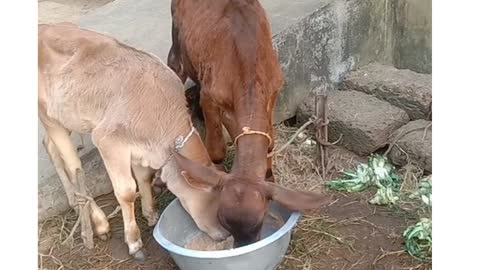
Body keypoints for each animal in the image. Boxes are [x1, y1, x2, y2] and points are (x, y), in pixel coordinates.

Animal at [166, 0, 330, 247]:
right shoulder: (210, 96)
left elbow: (269, 141)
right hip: (177, 42)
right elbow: (217, 150)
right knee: (175, 67)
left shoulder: (273, 92)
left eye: (260, 220)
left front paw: (269, 173)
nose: (243, 246)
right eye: (223, 220)